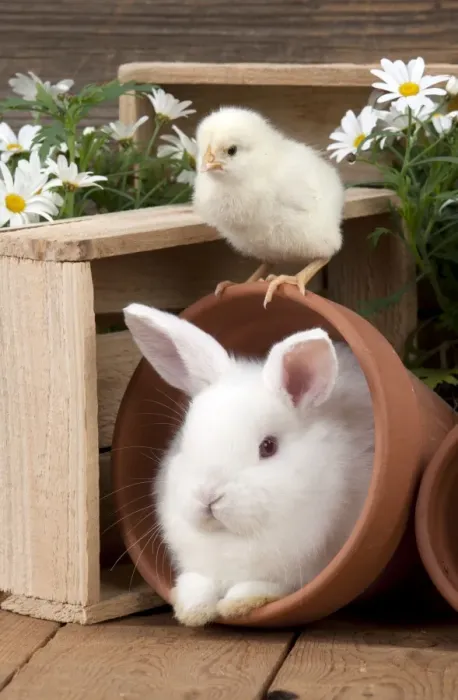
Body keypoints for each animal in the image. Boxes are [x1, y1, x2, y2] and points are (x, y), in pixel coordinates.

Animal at [124, 303, 375, 627]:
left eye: (268, 447)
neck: (232, 538)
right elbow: (197, 583)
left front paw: (236, 604)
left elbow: (263, 586)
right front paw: (192, 610)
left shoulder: (301, 568)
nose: (208, 496)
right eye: (186, 438)